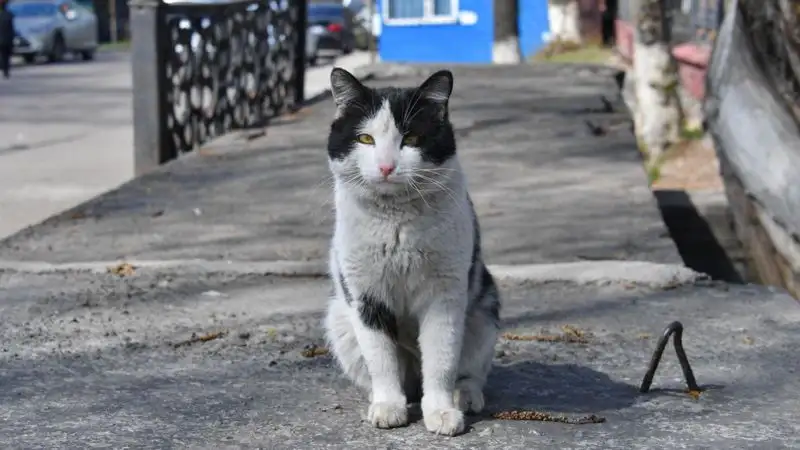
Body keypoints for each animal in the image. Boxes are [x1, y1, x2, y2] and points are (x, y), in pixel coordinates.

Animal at [320, 67, 500, 436]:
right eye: (365, 139)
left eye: (412, 138)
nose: (387, 167)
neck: (396, 221)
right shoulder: (366, 297)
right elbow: (381, 360)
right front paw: (389, 406)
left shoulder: (445, 295)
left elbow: (441, 359)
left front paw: (441, 412)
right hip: (339, 318)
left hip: (484, 311)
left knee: (470, 371)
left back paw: (465, 396)